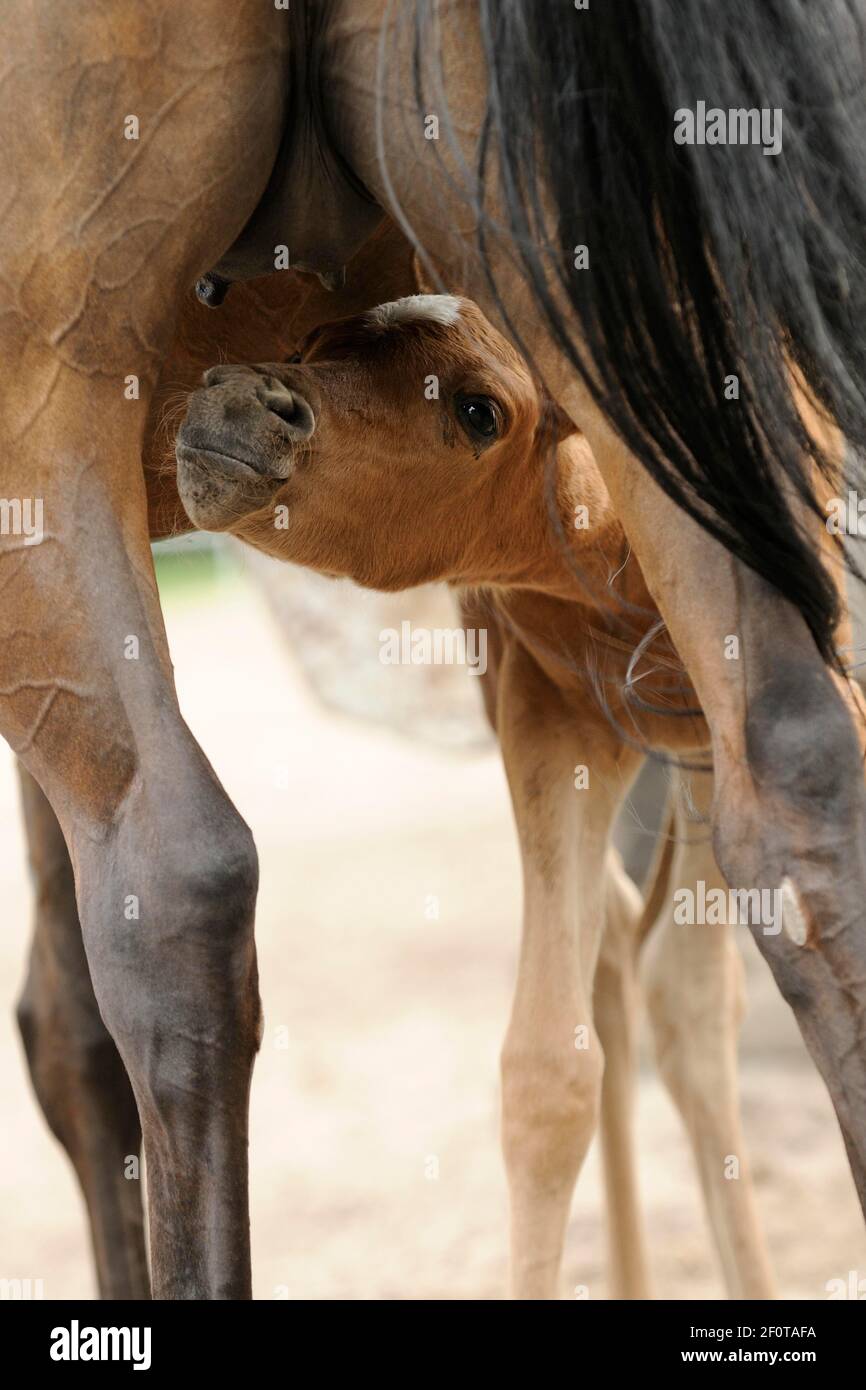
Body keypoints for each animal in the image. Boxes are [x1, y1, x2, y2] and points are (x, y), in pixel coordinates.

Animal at [4, 0, 866, 1297]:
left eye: (474, 410)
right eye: (320, 330)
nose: (242, 403)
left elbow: (67, 1016)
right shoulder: (551, 712)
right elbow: (558, 1055)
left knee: (174, 876)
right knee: (788, 789)